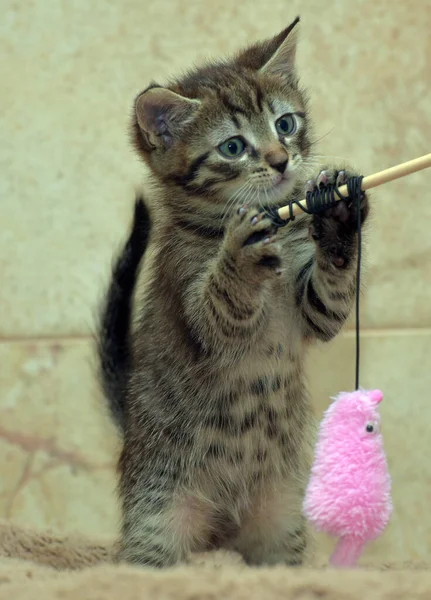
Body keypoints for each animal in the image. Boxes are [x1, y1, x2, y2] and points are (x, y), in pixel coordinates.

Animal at [97, 17, 368, 568]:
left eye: (285, 124)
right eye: (233, 148)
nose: (281, 160)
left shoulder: (314, 308)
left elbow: (329, 297)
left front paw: (336, 212)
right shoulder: (192, 297)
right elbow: (222, 304)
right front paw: (240, 253)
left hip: (280, 520)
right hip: (159, 516)